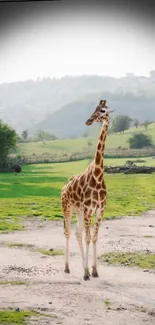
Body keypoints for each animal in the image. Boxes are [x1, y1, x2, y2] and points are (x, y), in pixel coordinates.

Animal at [61, 98, 111, 278]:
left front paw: (94, 270)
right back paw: (67, 268)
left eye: (102, 110)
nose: (88, 121)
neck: (98, 174)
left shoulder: (100, 209)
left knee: (77, 232)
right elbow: (88, 238)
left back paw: (84, 268)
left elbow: (94, 238)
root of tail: (64, 186)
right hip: (67, 207)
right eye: (94, 108)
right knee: (68, 232)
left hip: (79, 211)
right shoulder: (89, 209)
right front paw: (86, 272)